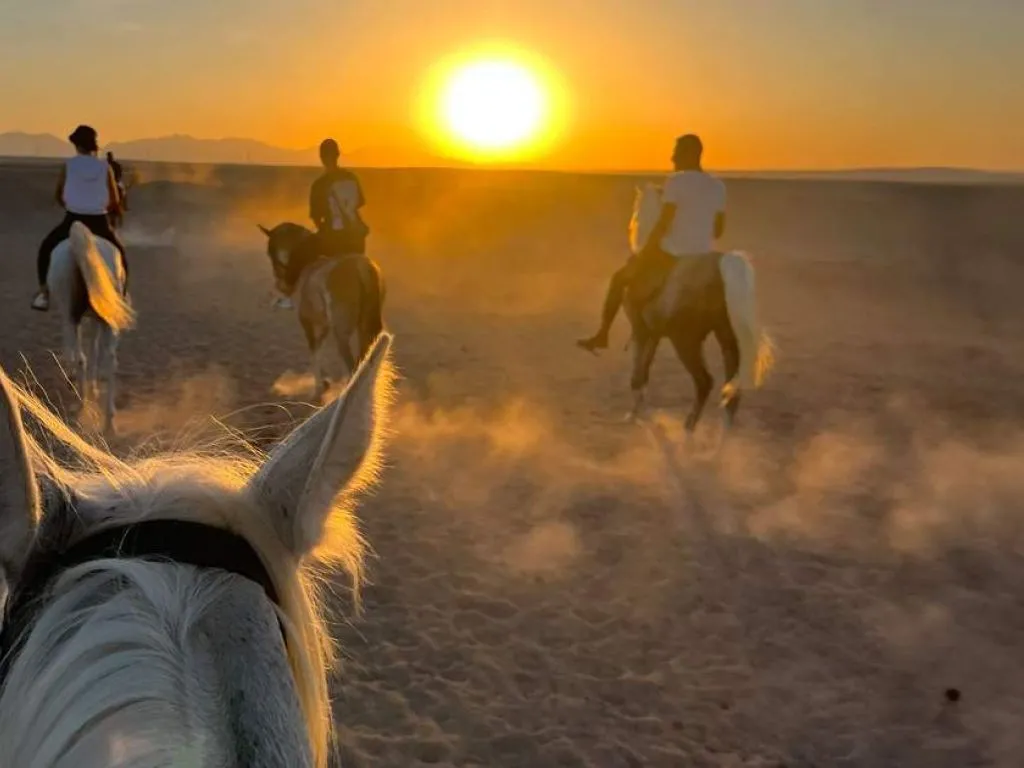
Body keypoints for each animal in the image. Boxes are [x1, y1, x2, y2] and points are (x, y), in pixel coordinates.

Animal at [47, 221, 135, 435]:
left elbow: (76, 349)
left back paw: (82, 404)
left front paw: (76, 381)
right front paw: (93, 386)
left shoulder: (69, 317)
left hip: (71, 316)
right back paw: (109, 421)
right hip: (107, 320)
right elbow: (94, 349)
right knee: (110, 360)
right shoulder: (98, 319)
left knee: (81, 358)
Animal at [258, 223, 385, 400]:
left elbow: (314, 349)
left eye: (270, 252)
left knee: (351, 363)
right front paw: (325, 381)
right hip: (364, 329)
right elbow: (320, 346)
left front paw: (320, 386)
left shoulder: (308, 322)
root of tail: (361, 268)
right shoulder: (324, 324)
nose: (279, 283)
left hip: (342, 335)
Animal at [623, 182, 775, 431]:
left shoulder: (641, 330)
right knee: (732, 391)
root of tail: (722, 267)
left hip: (686, 341)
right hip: (727, 337)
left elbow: (638, 372)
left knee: (705, 382)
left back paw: (690, 428)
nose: (631, 227)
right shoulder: (654, 333)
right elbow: (645, 368)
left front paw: (633, 414)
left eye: (636, 209)